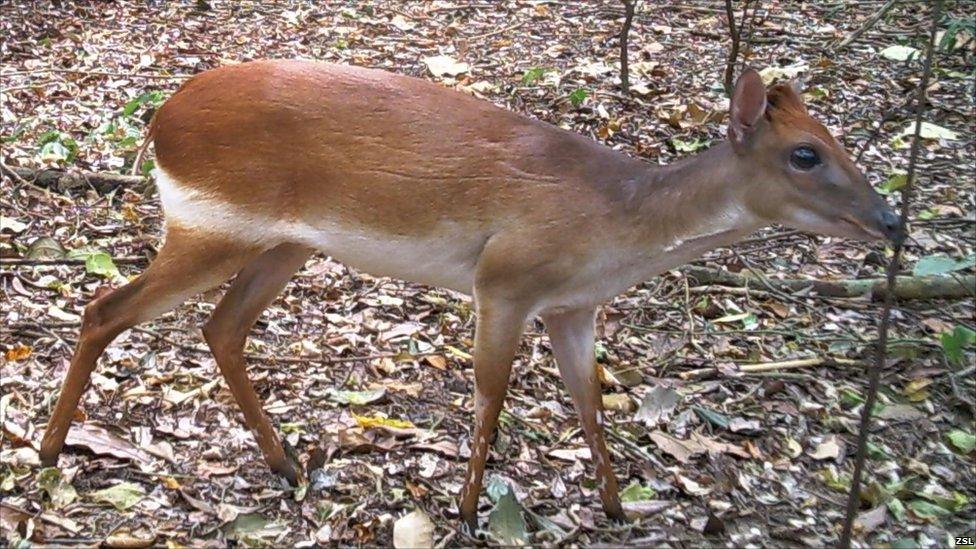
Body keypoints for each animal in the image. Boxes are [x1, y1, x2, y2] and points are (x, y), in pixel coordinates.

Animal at [39, 60, 900, 529]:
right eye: (805, 153)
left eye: (835, 140)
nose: (890, 218)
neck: (616, 225)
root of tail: (159, 123)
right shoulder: (504, 279)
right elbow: (490, 392)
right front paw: (462, 509)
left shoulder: (575, 306)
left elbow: (589, 399)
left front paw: (617, 506)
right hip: (212, 227)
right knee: (106, 308)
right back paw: (49, 449)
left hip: (285, 243)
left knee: (221, 327)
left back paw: (284, 462)